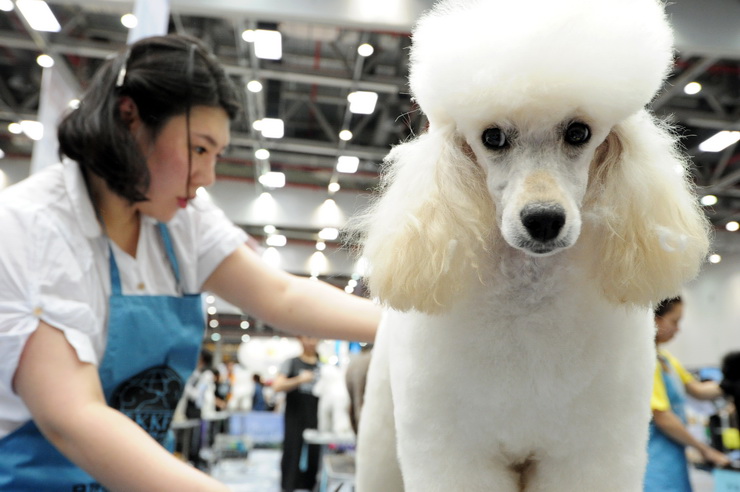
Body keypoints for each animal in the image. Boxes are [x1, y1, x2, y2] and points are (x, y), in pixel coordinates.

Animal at [352, 0, 712, 492]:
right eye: (492, 137)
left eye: (579, 132)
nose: (543, 220)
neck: (530, 299)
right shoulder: (458, 453)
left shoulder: (588, 452)